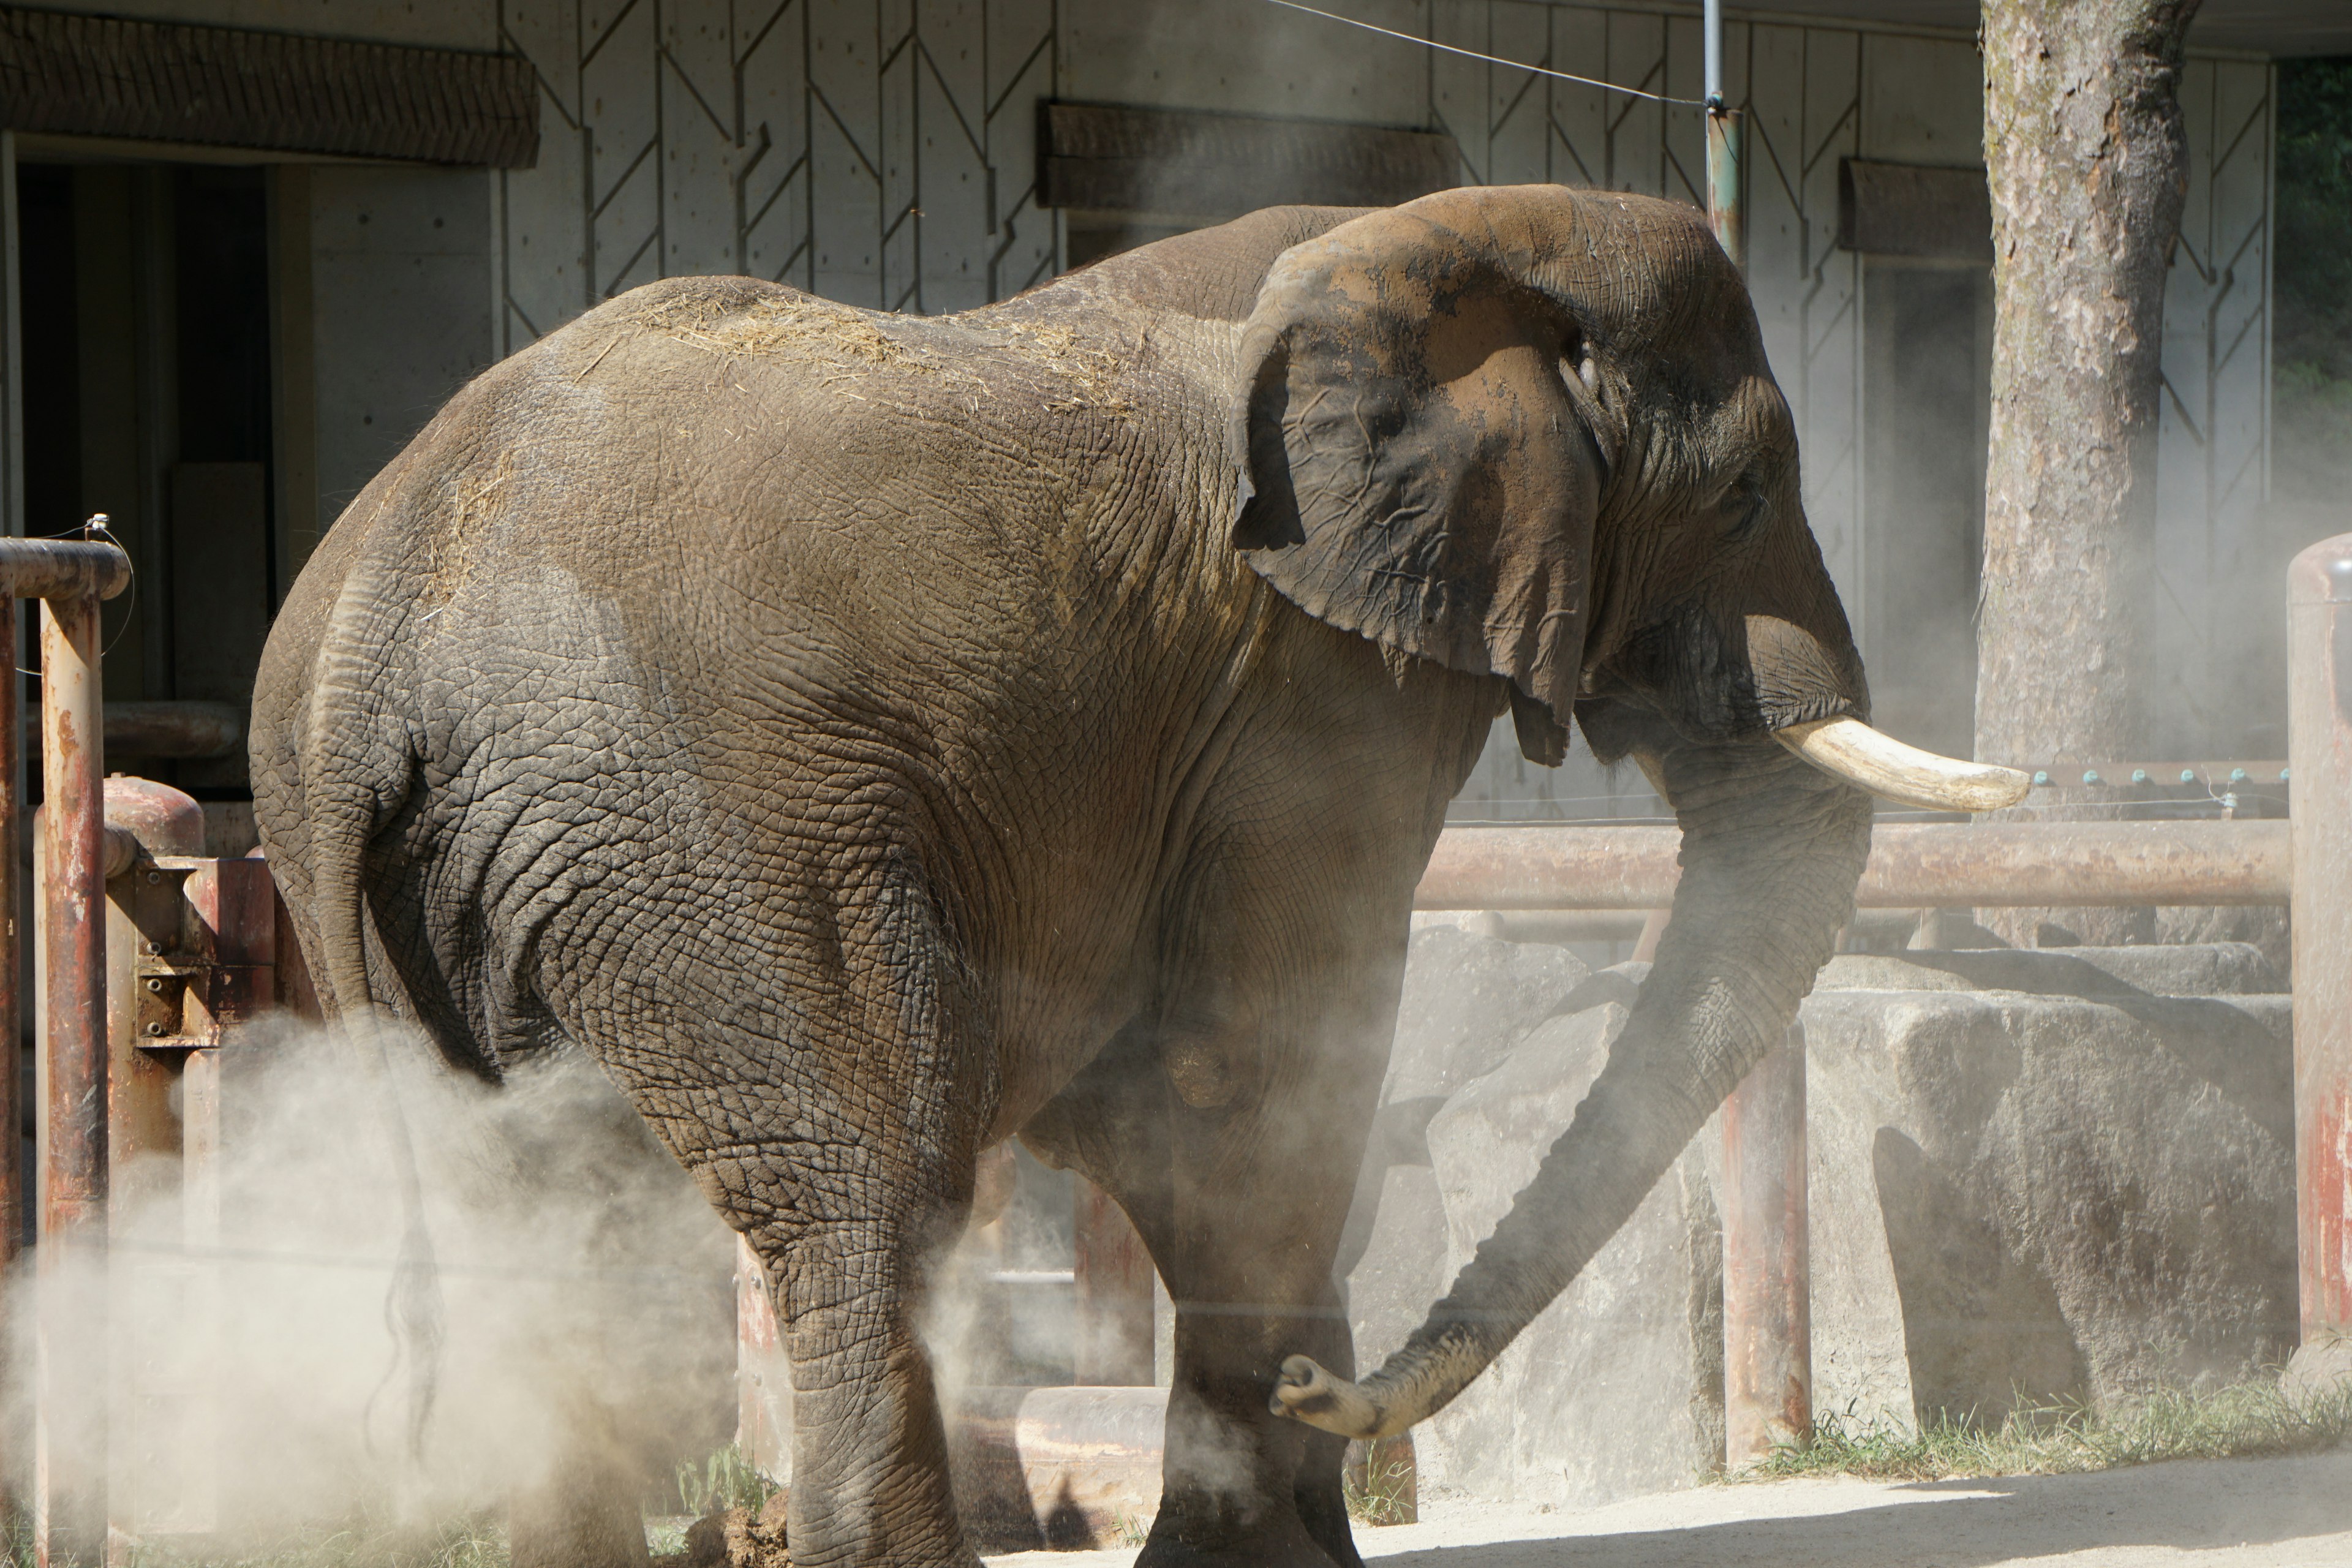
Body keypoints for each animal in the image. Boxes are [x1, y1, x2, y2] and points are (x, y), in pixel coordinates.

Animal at [252, 181, 2022, 1568]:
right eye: (1740, 494)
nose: (1330, 1391)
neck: (1449, 239)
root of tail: (371, 630)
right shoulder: (1305, 696)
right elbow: (1251, 1072)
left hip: (455, 876)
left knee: (537, 1241)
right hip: (710, 816)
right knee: (872, 1197)